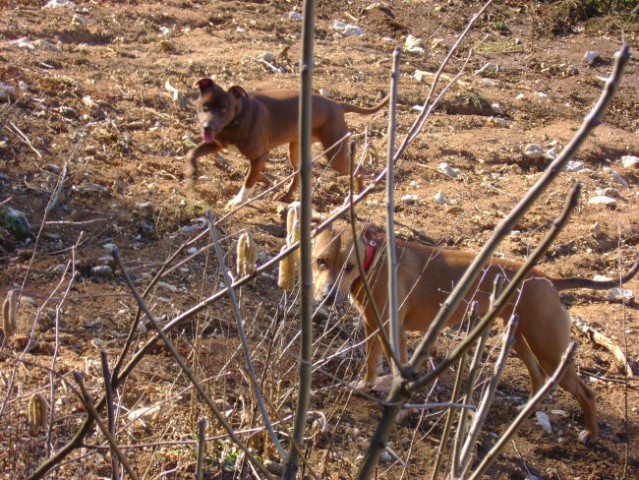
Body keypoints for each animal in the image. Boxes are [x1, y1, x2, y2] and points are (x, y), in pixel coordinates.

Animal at [182, 79, 388, 209]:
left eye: (224, 110)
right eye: (205, 107)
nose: (207, 127)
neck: (237, 118)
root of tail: (337, 105)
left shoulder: (260, 156)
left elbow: (249, 181)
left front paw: (238, 201)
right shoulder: (217, 143)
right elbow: (191, 153)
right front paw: (192, 173)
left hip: (335, 155)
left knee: (359, 169)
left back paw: (358, 195)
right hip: (296, 148)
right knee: (299, 172)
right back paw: (286, 196)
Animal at [314, 222, 639, 446]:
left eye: (349, 266)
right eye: (321, 261)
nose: (328, 296)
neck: (373, 261)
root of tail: (548, 279)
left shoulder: (395, 334)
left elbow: (392, 371)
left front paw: (400, 409)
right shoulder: (373, 327)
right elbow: (371, 363)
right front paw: (366, 386)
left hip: (549, 350)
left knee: (585, 392)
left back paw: (591, 434)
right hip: (519, 340)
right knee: (537, 377)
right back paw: (525, 409)